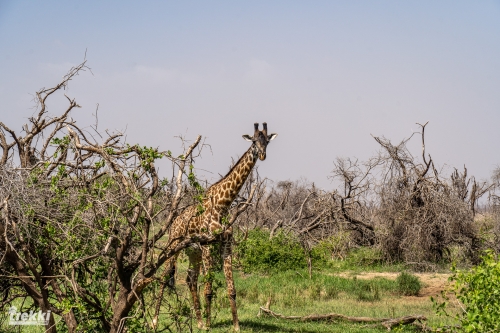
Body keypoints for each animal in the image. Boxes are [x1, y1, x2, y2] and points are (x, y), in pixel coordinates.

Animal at [154, 121, 278, 330]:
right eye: (254, 141)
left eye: (267, 141)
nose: (262, 155)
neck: (223, 205)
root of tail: (175, 222)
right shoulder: (207, 245)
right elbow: (209, 289)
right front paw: (210, 325)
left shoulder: (225, 245)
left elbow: (231, 289)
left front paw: (235, 326)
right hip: (174, 246)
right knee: (163, 278)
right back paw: (155, 322)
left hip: (192, 252)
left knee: (190, 279)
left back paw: (199, 322)